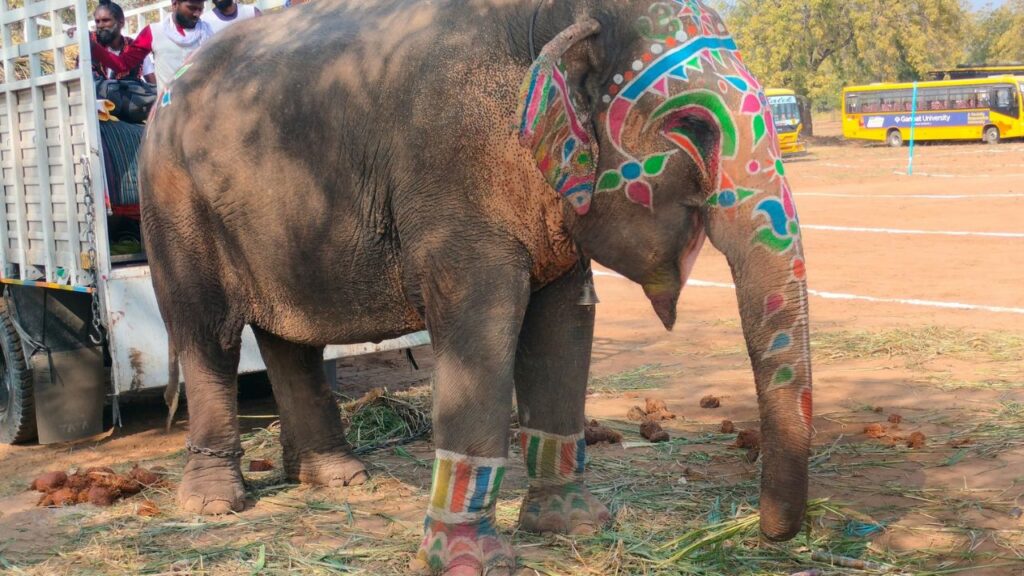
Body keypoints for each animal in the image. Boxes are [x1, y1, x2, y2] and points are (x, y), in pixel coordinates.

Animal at [140, 0, 813, 573]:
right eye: (694, 127)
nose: (767, 533)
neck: (552, 16)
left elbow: (564, 324)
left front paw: (575, 525)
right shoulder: (452, 174)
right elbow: (481, 320)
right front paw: (469, 561)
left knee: (289, 339)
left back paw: (339, 479)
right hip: (172, 198)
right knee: (206, 333)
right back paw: (215, 504)